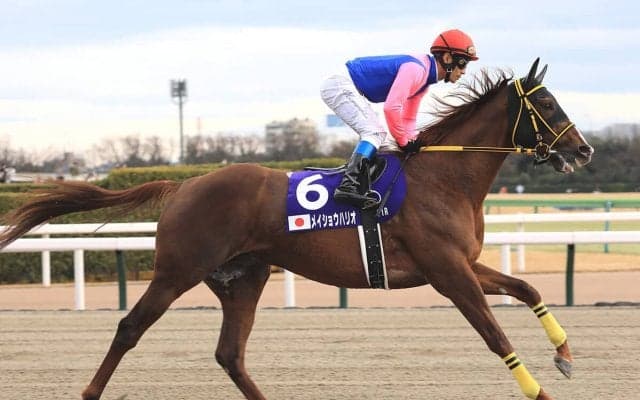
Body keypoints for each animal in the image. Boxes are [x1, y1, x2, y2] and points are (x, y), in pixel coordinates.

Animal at [0, 58, 593, 400]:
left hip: (243, 277)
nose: (583, 150)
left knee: (230, 354)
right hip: (177, 270)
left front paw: (565, 356)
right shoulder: (447, 272)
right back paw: (88, 392)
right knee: (130, 328)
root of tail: (184, 184)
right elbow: (496, 335)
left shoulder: (461, 264)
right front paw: (541, 390)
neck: (444, 177)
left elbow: (528, 288)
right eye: (544, 102)